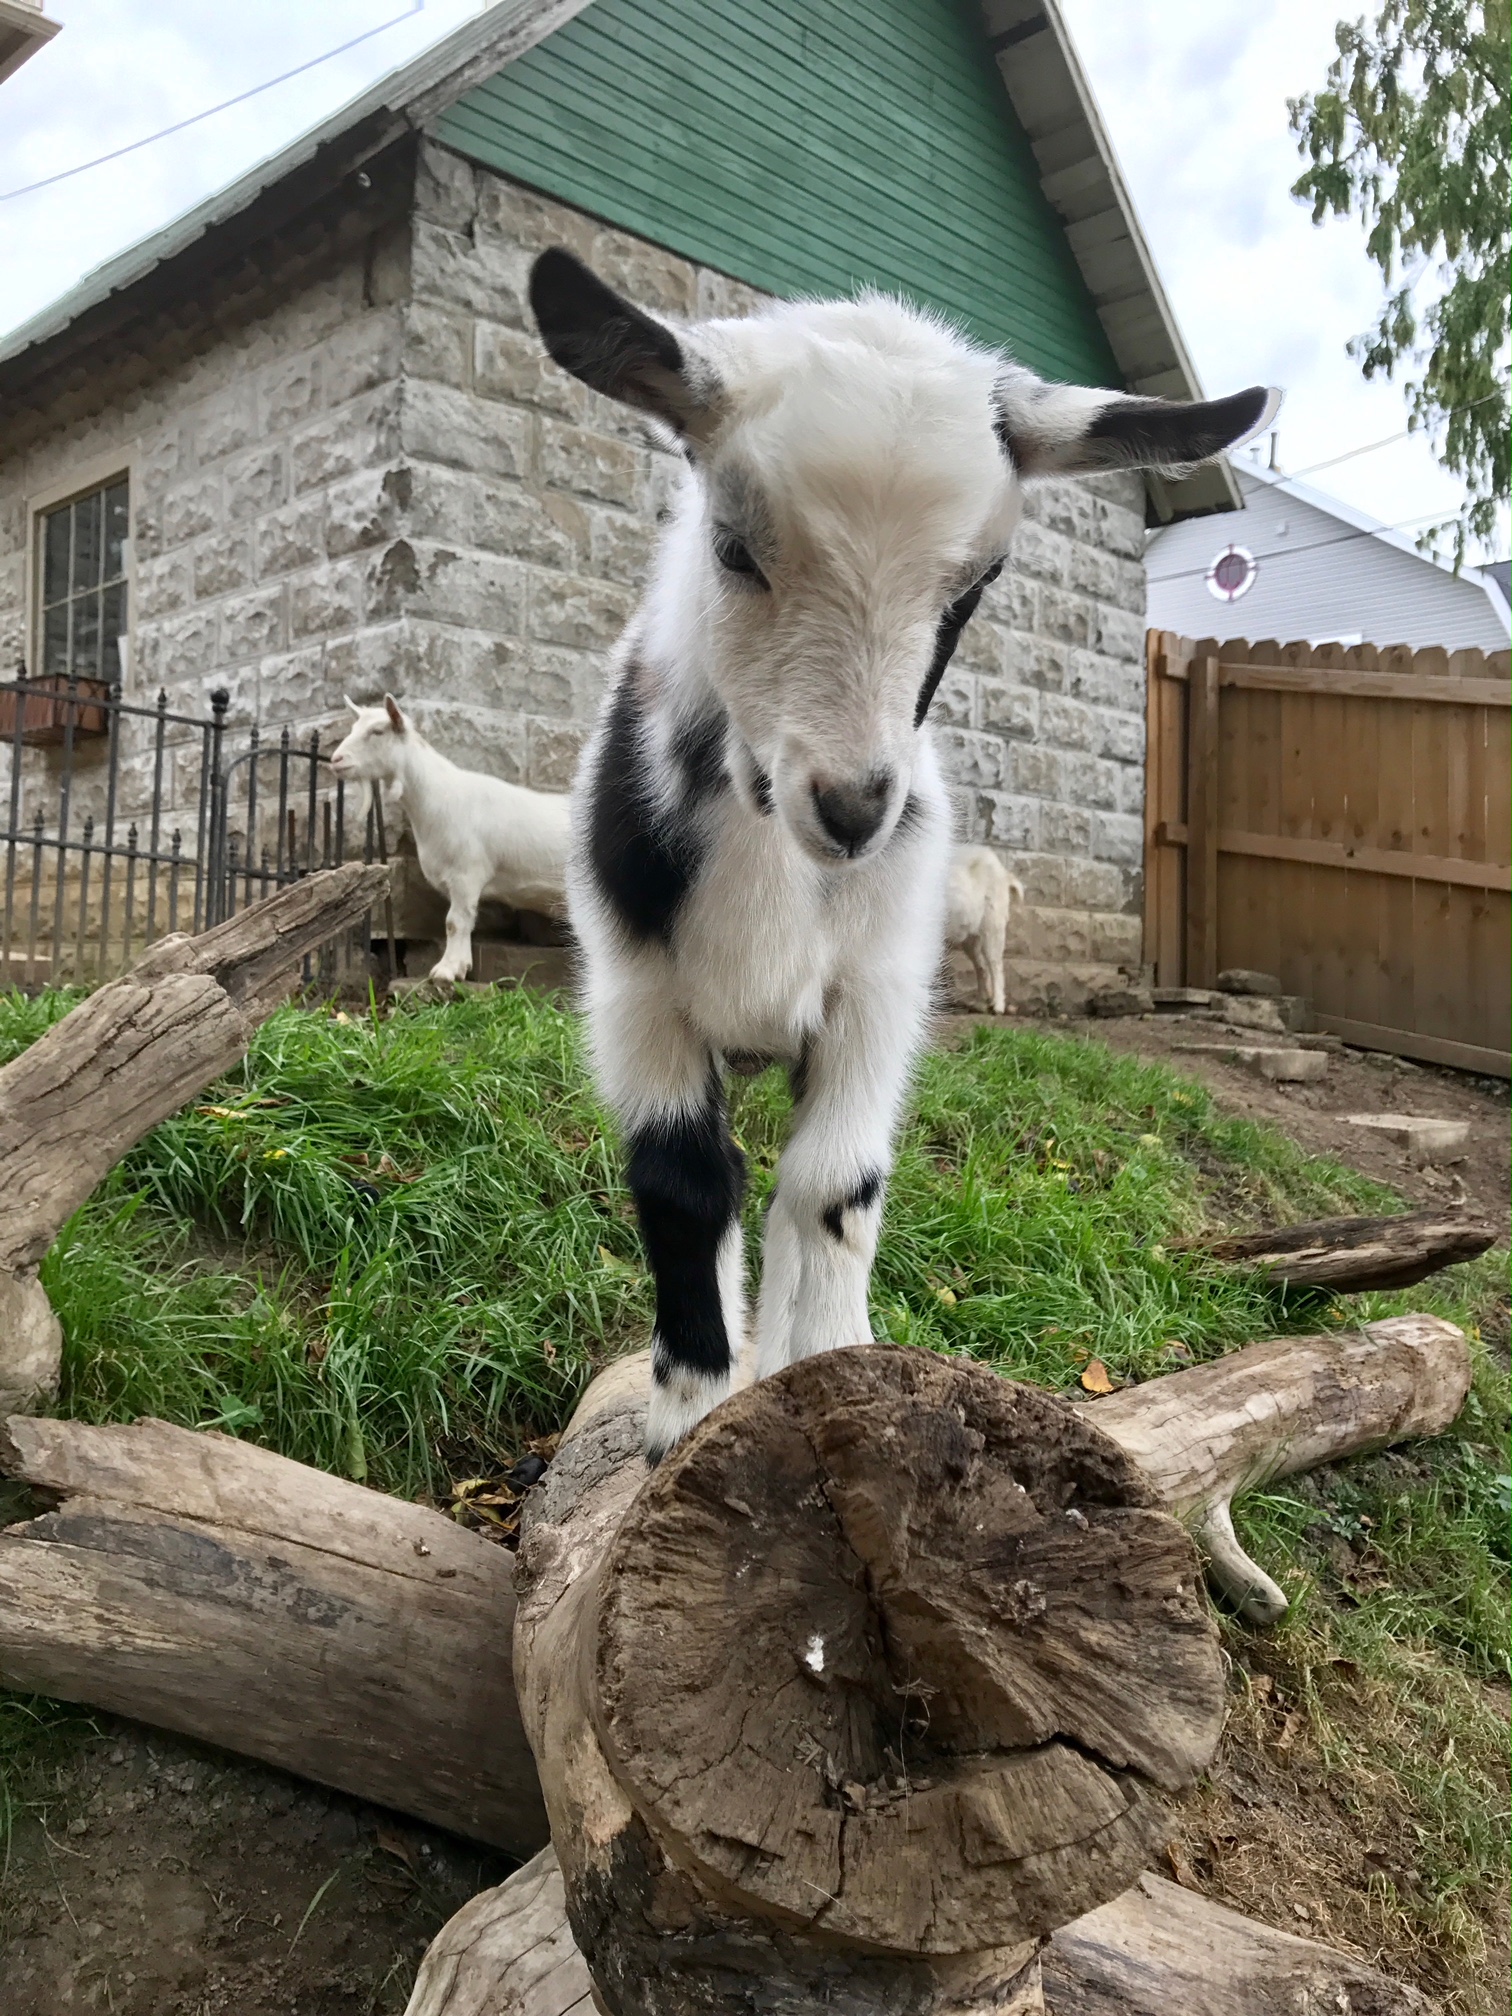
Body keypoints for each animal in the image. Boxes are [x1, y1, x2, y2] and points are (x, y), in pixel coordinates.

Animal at [329, 696, 571, 983]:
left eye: (377, 731)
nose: (336, 760)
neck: (439, 797)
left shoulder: (466, 874)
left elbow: (455, 922)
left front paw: (445, 971)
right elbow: (462, 922)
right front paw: (461, 966)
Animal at [945, 845, 1023, 1014]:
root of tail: (1004, 874)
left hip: (993, 926)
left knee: (995, 965)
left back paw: (998, 1006)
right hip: (971, 936)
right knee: (981, 967)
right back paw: (981, 1003)